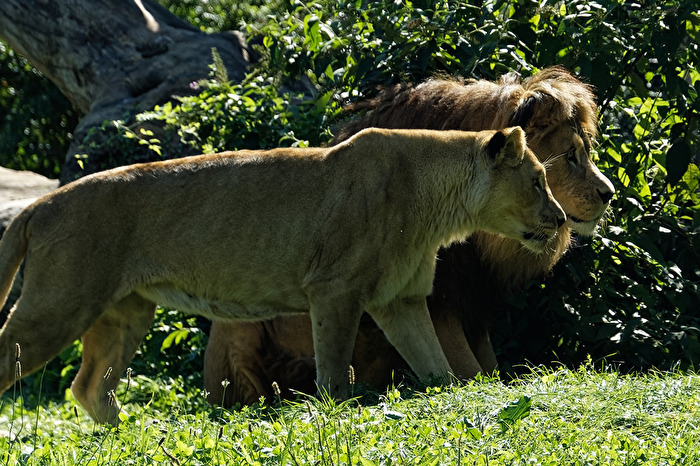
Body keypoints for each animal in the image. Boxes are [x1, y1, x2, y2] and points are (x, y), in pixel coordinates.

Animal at [0, 126, 565, 424]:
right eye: (538, 179)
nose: (561, 219)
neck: (439, 205)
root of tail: (40, 205)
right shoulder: (334, 289)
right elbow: (334, 372)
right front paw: (335, 415)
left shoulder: (399, 300)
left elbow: (437, 370)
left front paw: (450, 403)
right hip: (61, 302)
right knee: (18, 355)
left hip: (126, 310)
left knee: (90, 386)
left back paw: (128, 437)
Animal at [204, 67, 615, 406]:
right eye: (570, 156)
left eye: (585, 150)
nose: (609, 194)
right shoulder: (439, 302)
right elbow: (471, 372)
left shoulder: (470, 302)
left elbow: (488, 367)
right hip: (237, 328)